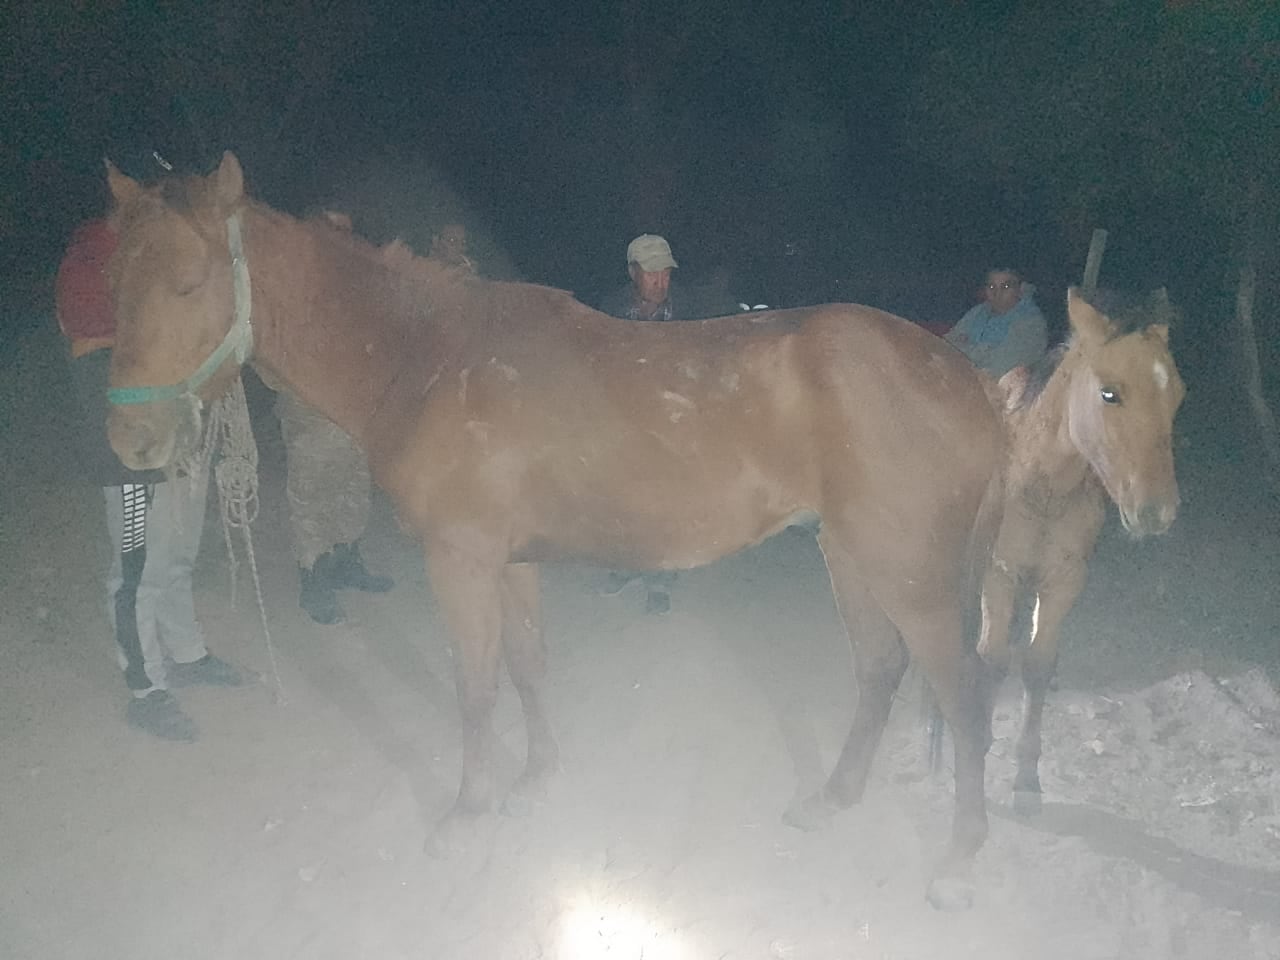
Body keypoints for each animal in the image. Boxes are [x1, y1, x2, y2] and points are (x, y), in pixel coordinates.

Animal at [104, 150, 1003, 911]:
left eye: (189, 283)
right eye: (118, 283)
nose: (130, 442)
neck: (425, 356)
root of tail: (969, 380)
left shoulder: (460, 560)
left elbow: (475, 688)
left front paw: (466, 814)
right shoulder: (509, 561)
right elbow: (528, 665)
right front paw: (536, 780)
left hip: (907, 571)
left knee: (963, 696)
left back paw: (960, 864)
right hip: (847, 553)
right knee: (880, 669)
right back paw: (833, 798)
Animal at [972, 289, 1182, 814]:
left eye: (1177, 394)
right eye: (1110, 393)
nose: (1158, 510)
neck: (1040, 485)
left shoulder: (1064, 579)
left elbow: (1036, 664)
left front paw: (1026, 779)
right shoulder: (998, 571)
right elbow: (992, 660)